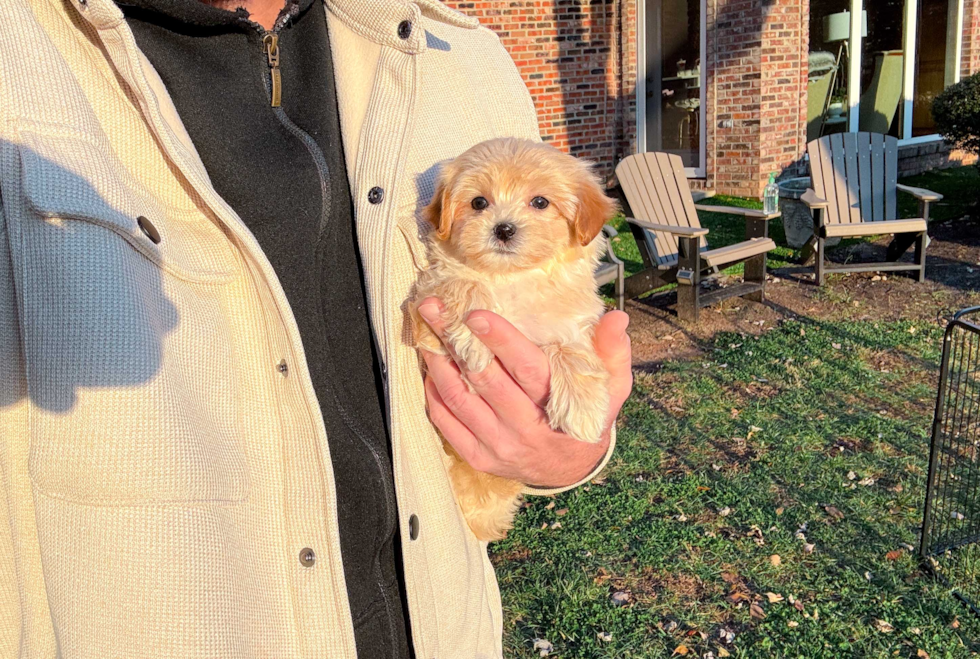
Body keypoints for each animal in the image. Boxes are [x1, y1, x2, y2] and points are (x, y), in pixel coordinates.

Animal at [410, 135, 616, 540]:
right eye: (478, 202)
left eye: (540, 202)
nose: (503, 229)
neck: (512, 278)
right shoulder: (425, 303)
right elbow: (463, 284)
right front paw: (475, 341)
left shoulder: (572, 322)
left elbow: (573, 352)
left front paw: (582, 411)